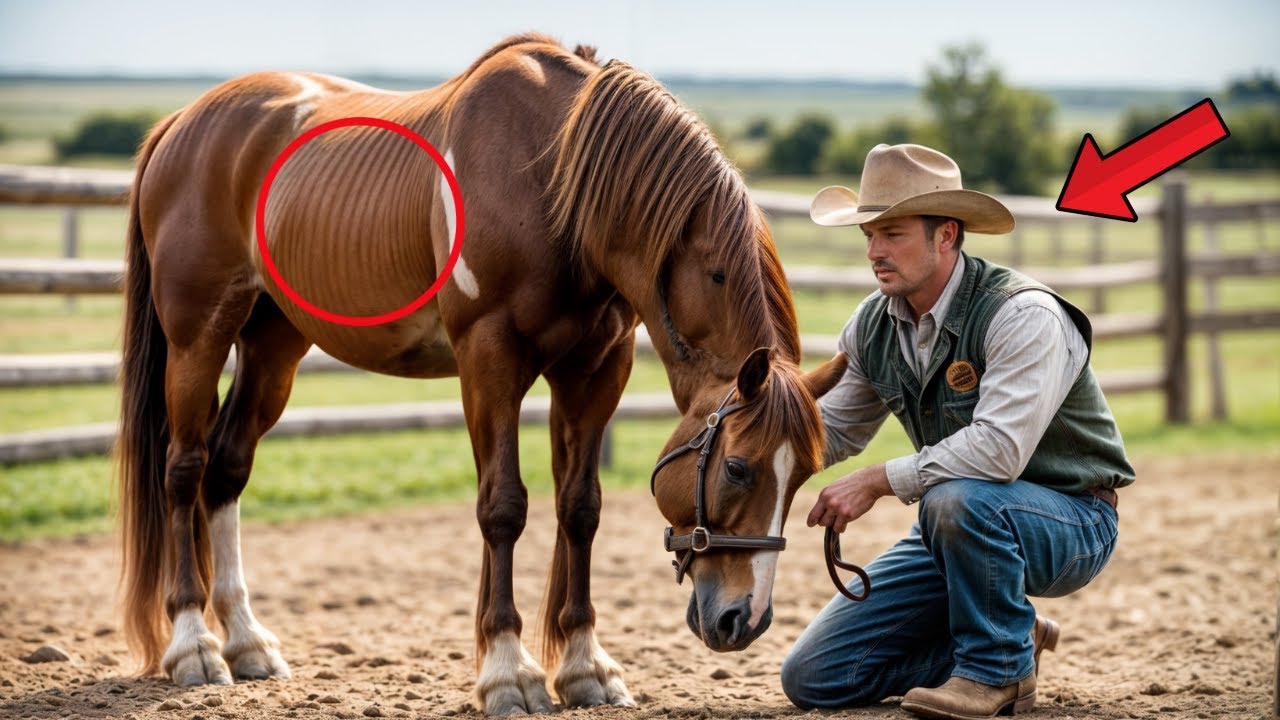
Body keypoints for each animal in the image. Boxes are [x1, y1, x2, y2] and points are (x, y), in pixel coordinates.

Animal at [115, 32, 848, 715]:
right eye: (738, 469)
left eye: (803, 476)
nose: (742, 620)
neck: (557, 181)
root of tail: (181, 122)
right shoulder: (490, 359)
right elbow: (504, 508)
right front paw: (508, 672)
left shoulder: (595, 369)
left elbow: (581, 508)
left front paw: (585, 666)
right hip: (197, 339)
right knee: (183, 472)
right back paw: (195, 646)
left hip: (273, 347)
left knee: (225, 471)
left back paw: (247, 642)